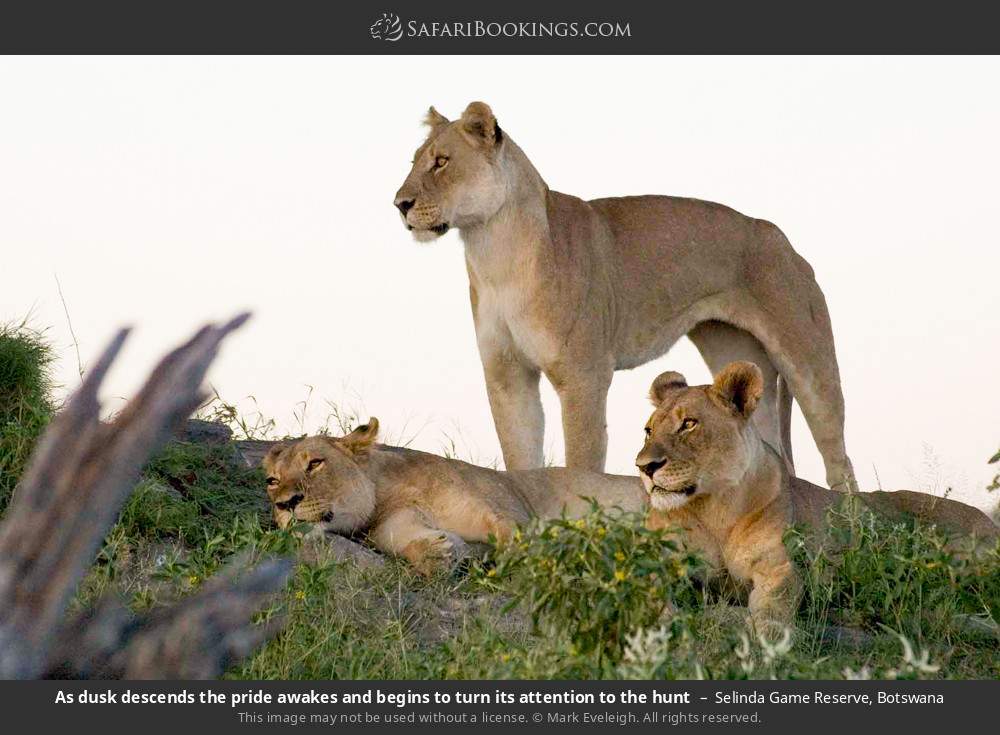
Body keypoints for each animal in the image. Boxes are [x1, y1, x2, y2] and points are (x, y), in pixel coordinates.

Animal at [261, 418, 645, 575]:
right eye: (272, 480)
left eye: (315, 463)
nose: (285, 504)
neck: (386, 490)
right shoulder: (392, 524)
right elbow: (414, 543)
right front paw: (439, 553)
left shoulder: (502, 507)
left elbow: (514, 536)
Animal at [394, 101, 855, 491]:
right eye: (414, 162)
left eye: (441, 162)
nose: (399, 204)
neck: (494, 252)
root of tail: (783, 240)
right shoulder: (506, 373)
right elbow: (520, 454)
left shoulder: (584, 374)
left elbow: (581, 458)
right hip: (736, 355)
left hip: (807, 359)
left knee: (838, 455)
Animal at [635, 361, 998, 626]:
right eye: (648, 430)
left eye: (689, 424)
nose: (644, 466)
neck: (714, 509)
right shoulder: (658, 560)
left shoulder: (780, 568)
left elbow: (772, 611)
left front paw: (764, 641)